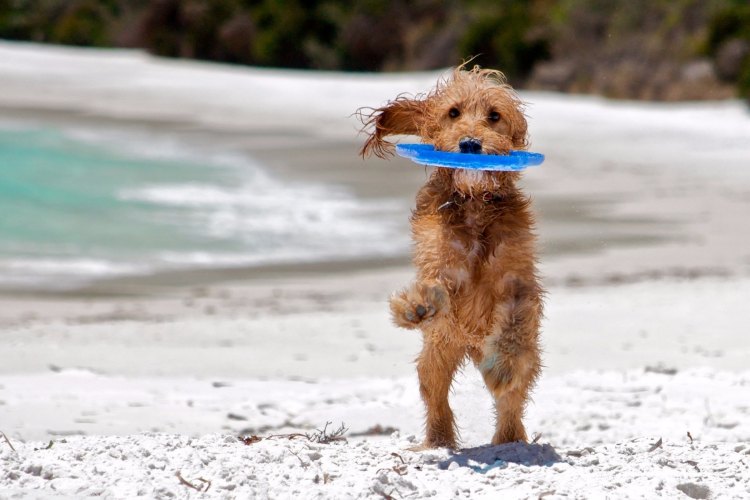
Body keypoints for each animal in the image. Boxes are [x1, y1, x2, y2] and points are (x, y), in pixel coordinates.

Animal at [362, 65, 544, 450]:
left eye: (494, 115)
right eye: (453, 112)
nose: (470, 145)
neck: (474, 202)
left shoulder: (518, 281)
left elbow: (514, 322)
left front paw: (503, 365)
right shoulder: (442, 264)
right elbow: (435, 286)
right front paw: (416, 305)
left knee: (512, 399)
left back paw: (508, 438)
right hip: (438, 352)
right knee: (435, 394)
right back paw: (438, 440)